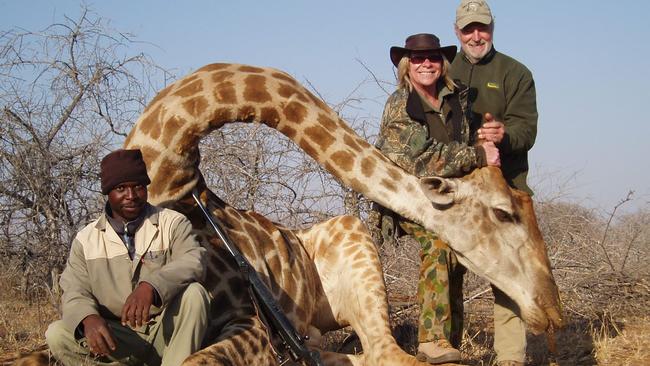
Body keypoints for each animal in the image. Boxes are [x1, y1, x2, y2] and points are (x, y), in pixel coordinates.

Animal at [123, 61, 560, 364]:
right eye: (504, 212)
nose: (551, 311)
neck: (169, 173)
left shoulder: (252, 323)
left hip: (356, 248)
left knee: (386, 353)